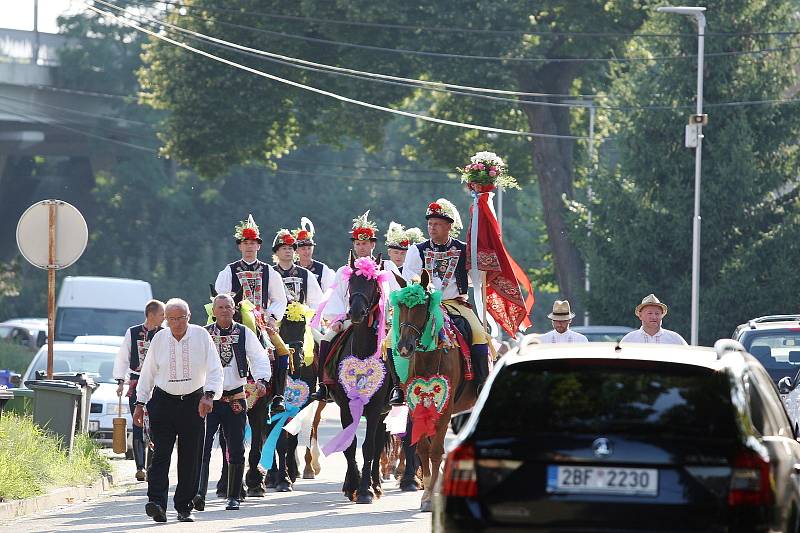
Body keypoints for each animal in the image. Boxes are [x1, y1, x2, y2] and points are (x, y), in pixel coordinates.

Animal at [322, 252, 390, 502]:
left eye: (373, 284)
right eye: (351, 282)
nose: (356, 313)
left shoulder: (376, 407)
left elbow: (369, 446)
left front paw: (365, 490)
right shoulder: (345, 406)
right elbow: (350, 445)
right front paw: (352, 485)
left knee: (378, 443)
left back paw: (376, 484)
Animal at [392, 270, 476, 512]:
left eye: (423, 306)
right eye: (401, 305)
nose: (404, 347)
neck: (428, 357)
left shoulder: (445, 409)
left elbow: (437, 450)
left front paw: (432, 494)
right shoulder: (415, 407)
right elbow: (423, 449)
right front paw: (428, 492)